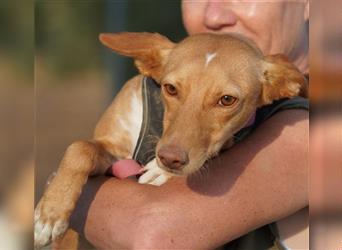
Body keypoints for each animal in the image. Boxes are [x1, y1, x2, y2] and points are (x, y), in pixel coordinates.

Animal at [34, 31, 308, 248]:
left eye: (227, 100)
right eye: (171, 88)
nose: (169, 159)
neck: (157, 124)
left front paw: (160, 171)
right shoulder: (112, 152)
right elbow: (79, 148)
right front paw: (50, 213)